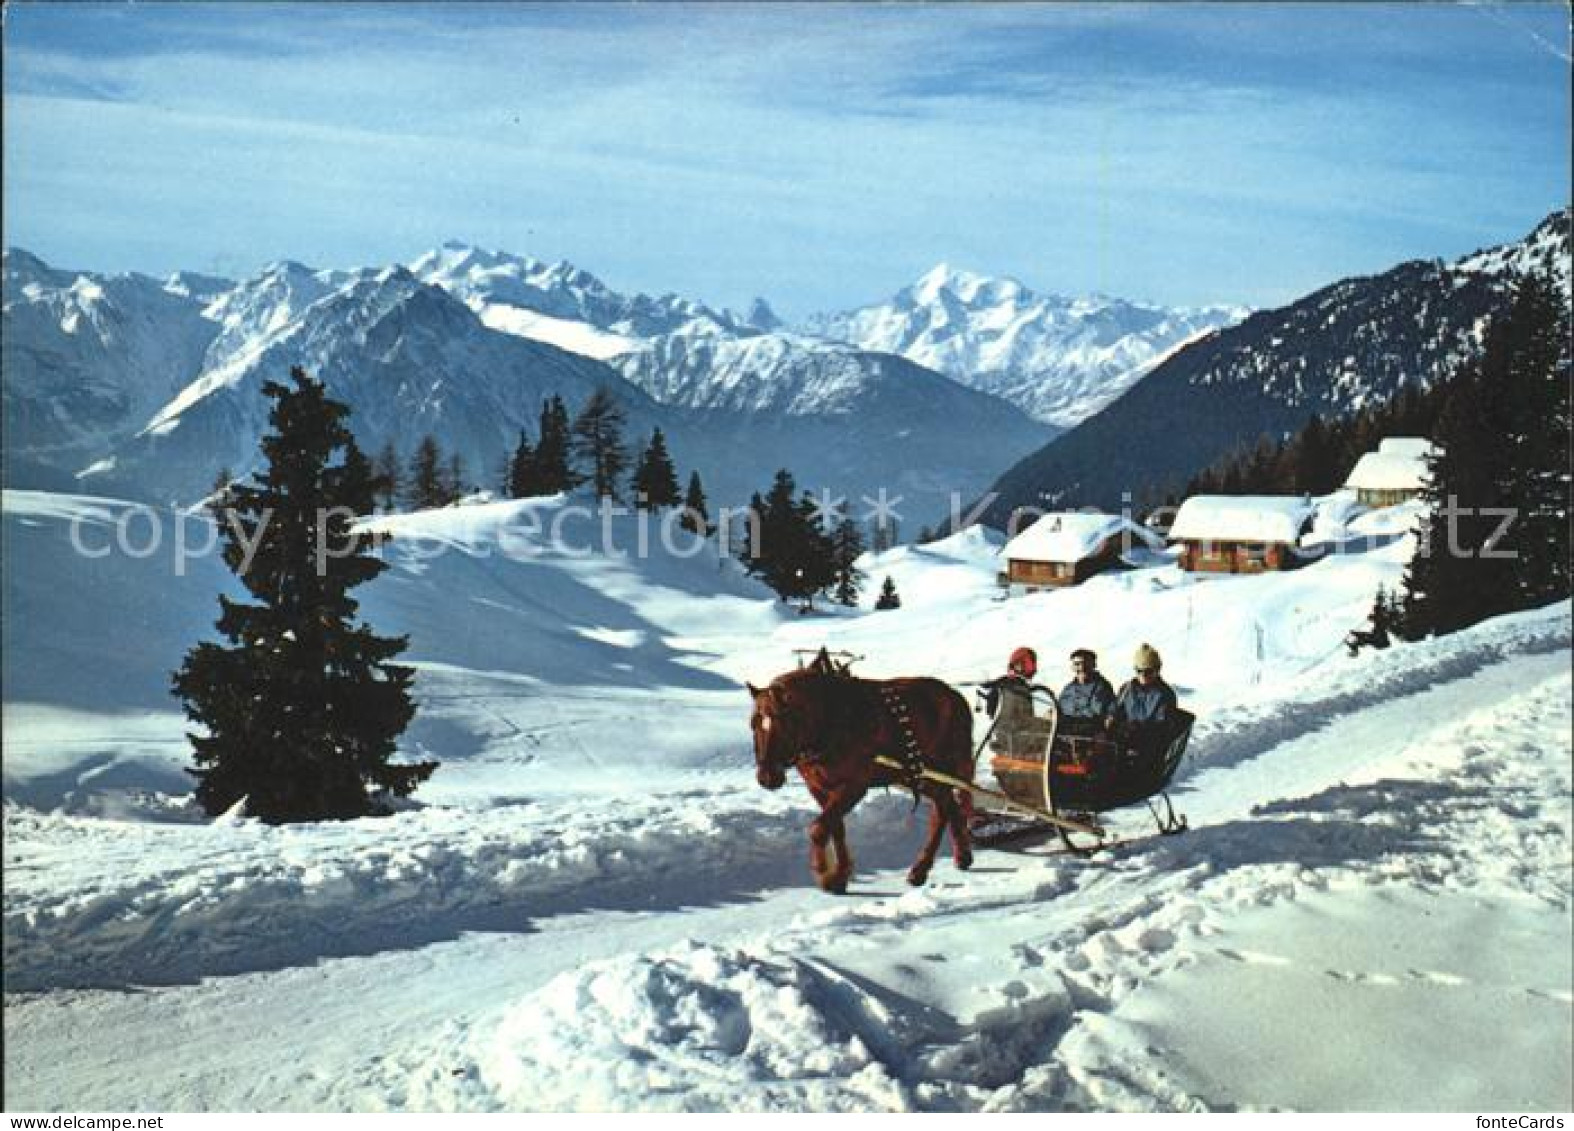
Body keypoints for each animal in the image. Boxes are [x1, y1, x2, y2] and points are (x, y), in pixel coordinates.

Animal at [746, 663, 969, 893]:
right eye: (753, 724)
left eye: (783, 723)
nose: (766, 777)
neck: (829, 725)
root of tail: (954, 695)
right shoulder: (819, 788)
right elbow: (835, 827)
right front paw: (839, 875)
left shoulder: (854, 786)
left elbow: (818, 828)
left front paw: (823, 871)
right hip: (919, 775)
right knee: (948, 804)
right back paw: (959, 856)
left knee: (944, 808)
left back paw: (921, 869)